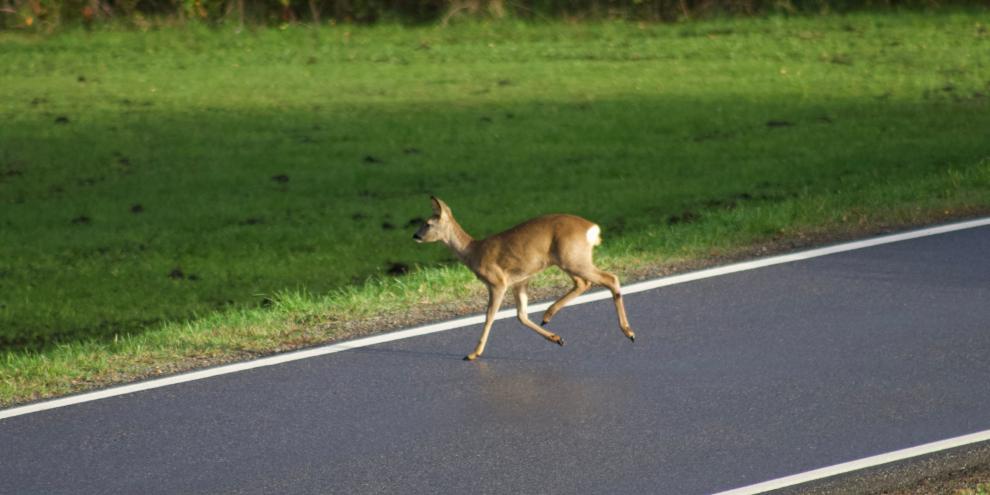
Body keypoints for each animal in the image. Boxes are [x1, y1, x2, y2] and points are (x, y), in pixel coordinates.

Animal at [413, 197, 635, 361]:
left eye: (428, 223)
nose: (415, 236)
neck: (474, 252)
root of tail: (592, 228)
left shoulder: (497, 282)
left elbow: (490, 316)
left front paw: (473, 353)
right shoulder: (519, 281)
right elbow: (521, 315)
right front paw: (557, 338)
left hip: (573, 258)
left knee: (610, 278)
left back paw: (629, 332)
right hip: (571, 259)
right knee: (583, 283)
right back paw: (547, 316)